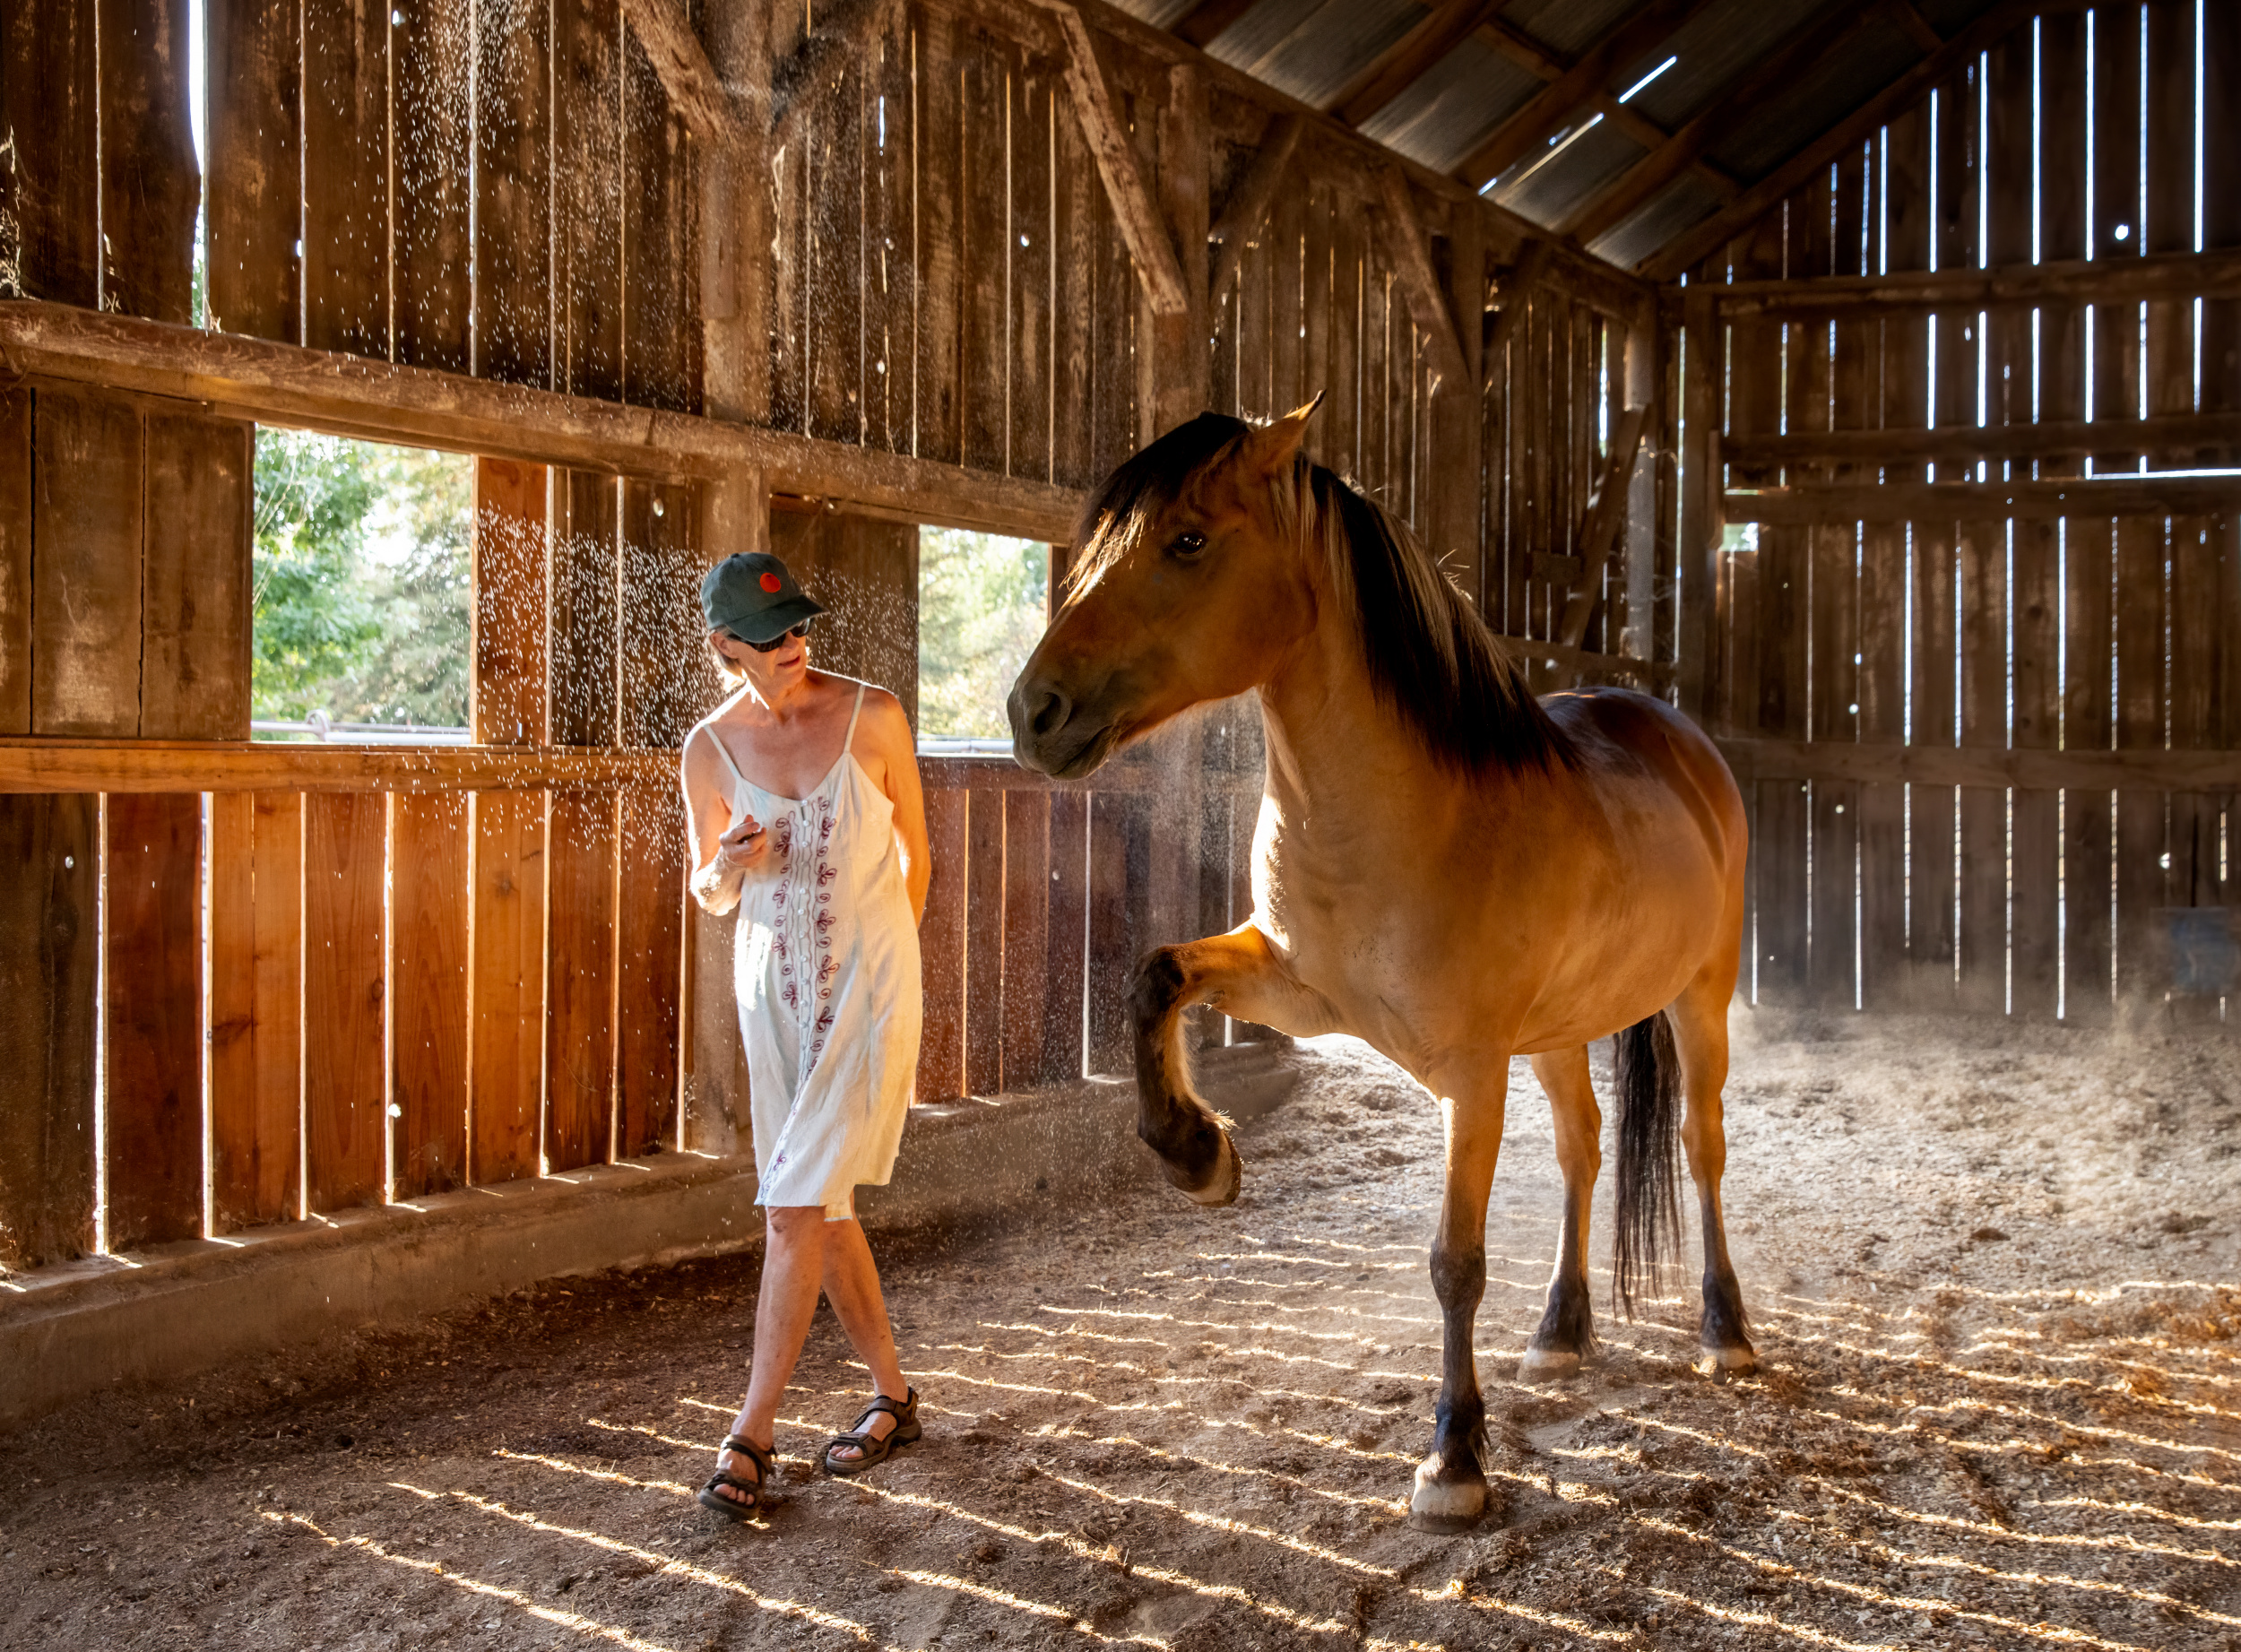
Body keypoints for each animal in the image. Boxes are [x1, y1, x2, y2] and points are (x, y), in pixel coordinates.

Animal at [1006, 400, 1756, 1533]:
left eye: (1188, 539)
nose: (1032, 713)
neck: (1407, 818)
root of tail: (1675, 735)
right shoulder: (1292, 987)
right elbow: (1155, 977)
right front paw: (1197, 1153)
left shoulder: (1470, 1075)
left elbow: (1455, 1262)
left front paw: (1453, 1461)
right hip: (1560, 1034)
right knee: (1582, 1152)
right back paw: (1562, 1331)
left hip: (1696, 1002)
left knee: (1699, 1148)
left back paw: (1724, 1331)